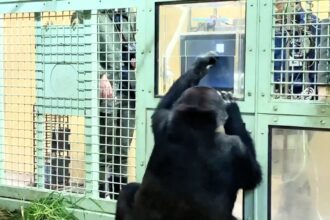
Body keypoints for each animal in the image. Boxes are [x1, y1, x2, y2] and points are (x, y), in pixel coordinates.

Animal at [114, 51, 262, 220]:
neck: (194, 123)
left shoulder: (163, 121)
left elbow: (160, 110)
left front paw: (200, 65)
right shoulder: (237, 149)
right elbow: (255, 175)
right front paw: (231, 107)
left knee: (124, 192)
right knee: (128, 189)